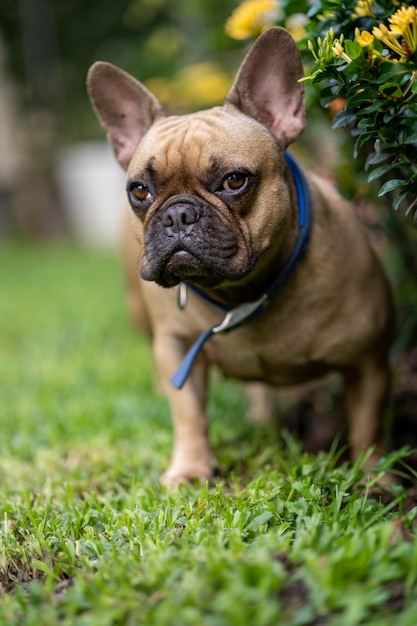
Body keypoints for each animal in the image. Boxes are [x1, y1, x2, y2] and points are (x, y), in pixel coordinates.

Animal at [87, 26, 394, 486]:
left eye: (234, 181)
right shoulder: (178, 348)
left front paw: (376, 479)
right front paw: (190, 469)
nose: (178, 214)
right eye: (139, 190)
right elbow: (189, 414)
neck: (244, 292)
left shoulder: (369, 360)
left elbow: (367, 426)